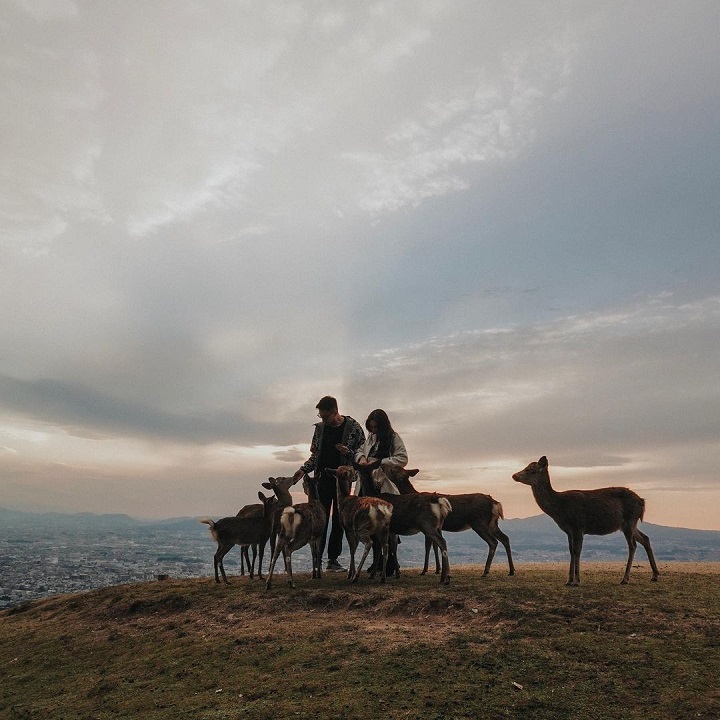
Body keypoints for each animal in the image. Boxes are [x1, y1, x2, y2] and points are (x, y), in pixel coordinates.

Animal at [380, 466, 516, 580]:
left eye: (394, 469)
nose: (383, 466)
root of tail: (496, 504)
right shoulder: (437, 527)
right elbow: (435, 546)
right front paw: (438, 569)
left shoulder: (428, 526)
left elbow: (428, 546)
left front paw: (425, 570)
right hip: (492, 523)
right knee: (505, 538)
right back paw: (511, 570)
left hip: (479, 522)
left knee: (493, 542)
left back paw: (486, 571)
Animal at [512, 456, 660, 584]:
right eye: (526, 467)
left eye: (530, 470)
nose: (514, 475)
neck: (559, 509)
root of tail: (642, 502)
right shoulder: (569, 530)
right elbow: (571, 551)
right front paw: (569, 580)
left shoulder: (578, 526)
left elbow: (577, 550)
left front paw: (577, 580)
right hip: (628, 524)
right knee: (645, 538)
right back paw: (654, 575)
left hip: (630, 520)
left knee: (632, 545)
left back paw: (625, 579)